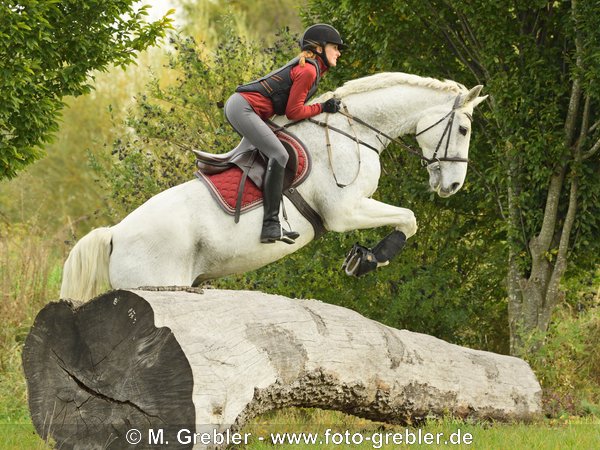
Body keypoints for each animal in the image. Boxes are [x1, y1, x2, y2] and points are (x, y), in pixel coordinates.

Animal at [61, 74, 488, 302]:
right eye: (464, 130)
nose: (452, 185)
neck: (356, 130)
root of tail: (115, 233)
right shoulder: (344, 211)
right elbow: (409, 218)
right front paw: (369, 259)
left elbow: (406, 218)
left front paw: (363, 257)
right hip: (159, 284)